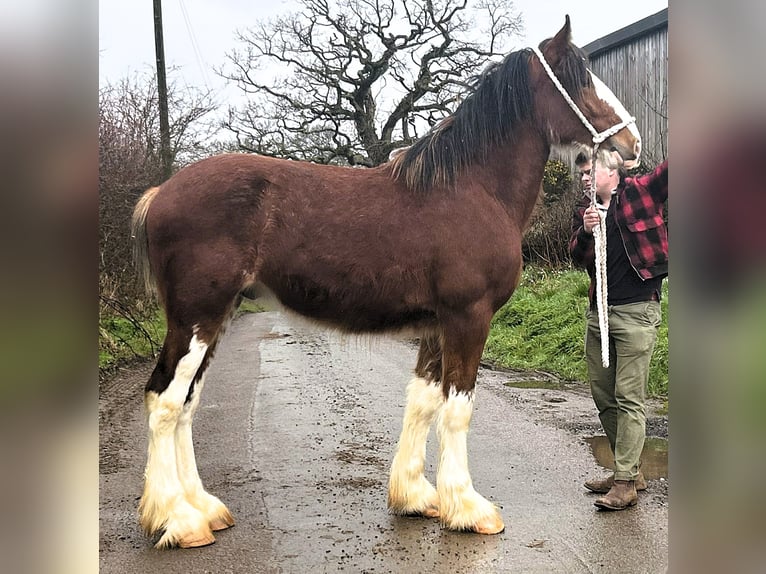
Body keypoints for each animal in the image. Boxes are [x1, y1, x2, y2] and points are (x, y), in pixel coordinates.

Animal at [130, 16, 641, 549]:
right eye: (580, 79)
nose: (632, 146)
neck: (472, 189)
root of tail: (160, 192)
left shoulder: (436, 325)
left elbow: (423, 402)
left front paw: (417, 497)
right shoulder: (468, 317)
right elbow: (457, 408)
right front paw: (469, 509)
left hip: (216, 317)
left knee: (187, 404)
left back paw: (204, 509)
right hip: (197, 317)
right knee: (165, 401)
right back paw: (178, 520)